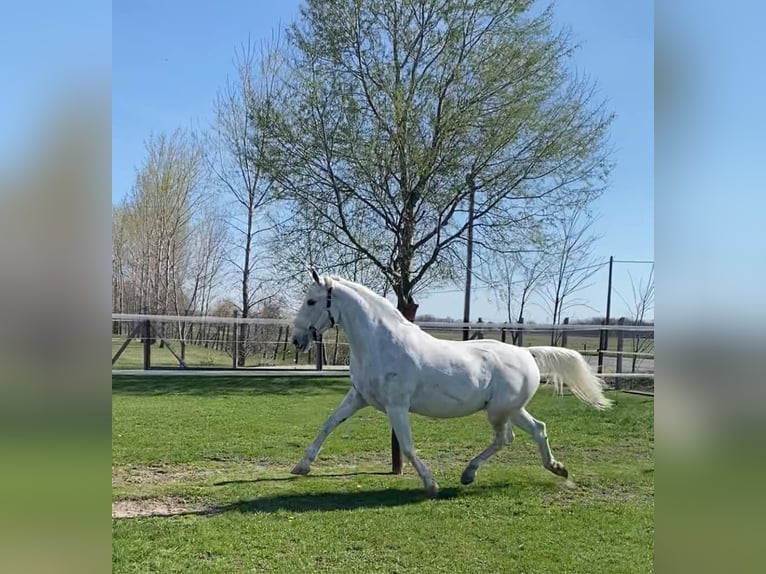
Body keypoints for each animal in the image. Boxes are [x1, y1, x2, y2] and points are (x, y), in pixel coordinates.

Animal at [292, 270, 616, 500]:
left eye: (311, 301)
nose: (297, 340)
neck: (381, 343)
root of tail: (526, 353)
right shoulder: (358, 397)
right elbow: (328, 424)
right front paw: (302, 466)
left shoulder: (397, 406)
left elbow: (407, 446)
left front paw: (431, 484)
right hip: (511, 409)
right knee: (537, 429)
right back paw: (556, 469)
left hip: (499, 411)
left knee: (505, 438)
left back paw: (469, 474)